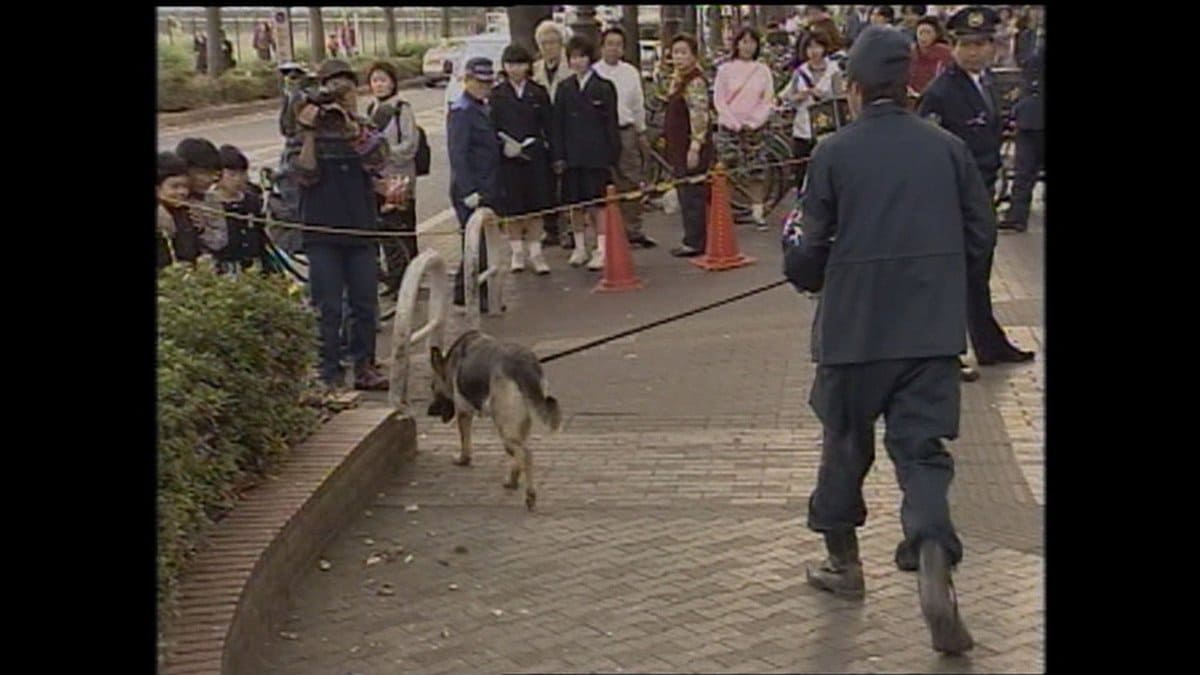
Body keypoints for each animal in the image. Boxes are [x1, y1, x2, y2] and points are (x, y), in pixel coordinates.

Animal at [429, 329, 564, 506]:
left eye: (432, 388)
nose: (429, 411)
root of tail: (521, 365)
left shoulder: (463, 412)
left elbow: (465, 442)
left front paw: (463, 460)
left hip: (503, 426)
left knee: (525, 454)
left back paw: (530, 495)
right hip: (518, 425)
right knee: (519, 453)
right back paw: (513, 481)